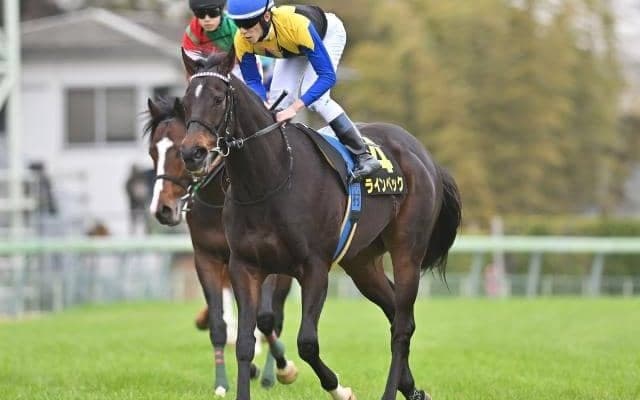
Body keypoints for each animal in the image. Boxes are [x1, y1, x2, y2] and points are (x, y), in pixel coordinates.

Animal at [143, 97, 299, 395]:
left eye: (179, 151)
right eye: (152, 152)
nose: (163, 210)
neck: (219, 198)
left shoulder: (264, 261)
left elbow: (265, 318)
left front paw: (284, 368)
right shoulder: (207, 258)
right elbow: (218, 323)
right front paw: (222, 384)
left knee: (275, 316)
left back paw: (272, 373)